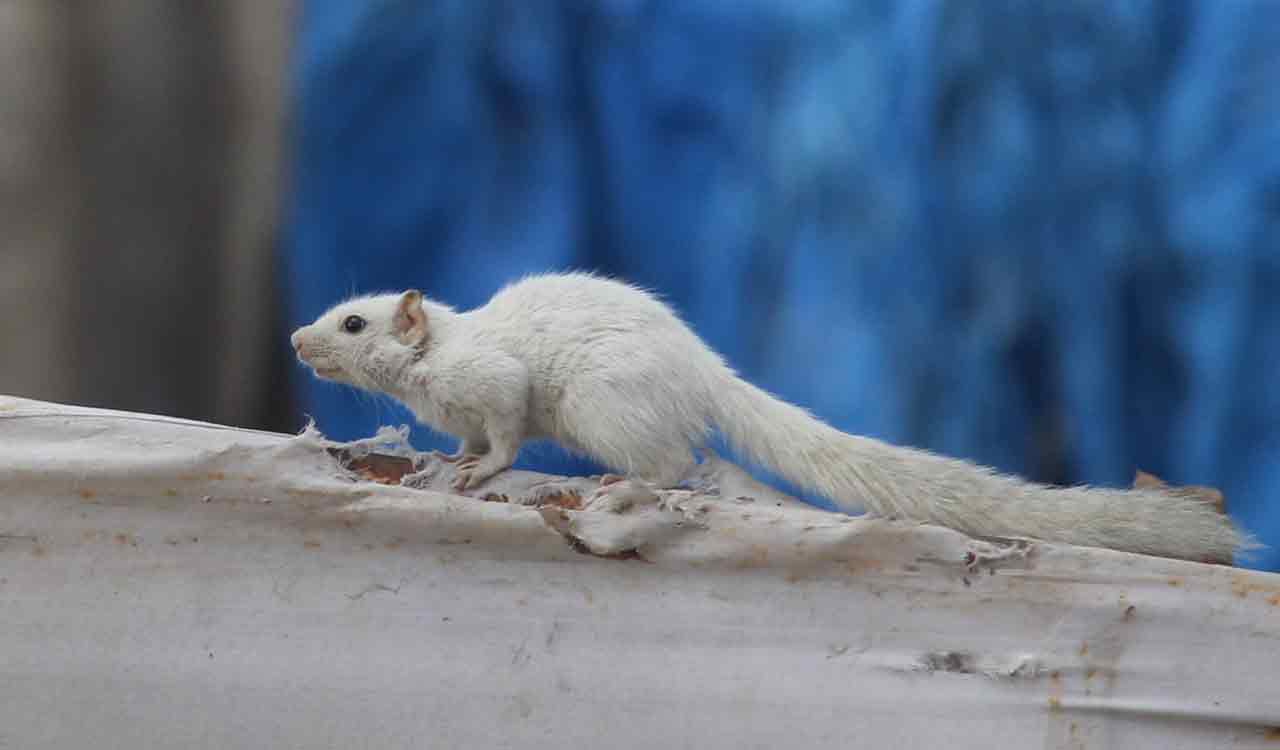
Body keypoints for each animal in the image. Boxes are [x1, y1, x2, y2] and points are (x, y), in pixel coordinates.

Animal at [291, 272, 1248, 563]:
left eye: (353, 323)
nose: (297, 338)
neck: (434, 362)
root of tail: (708, 376)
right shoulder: (461, 408)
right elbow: (461, 440)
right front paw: (435, 461)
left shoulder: (498, 388)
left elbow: (501, 438)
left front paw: (478, 470)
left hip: (609, 412)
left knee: (669, 464)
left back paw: (618, 484)